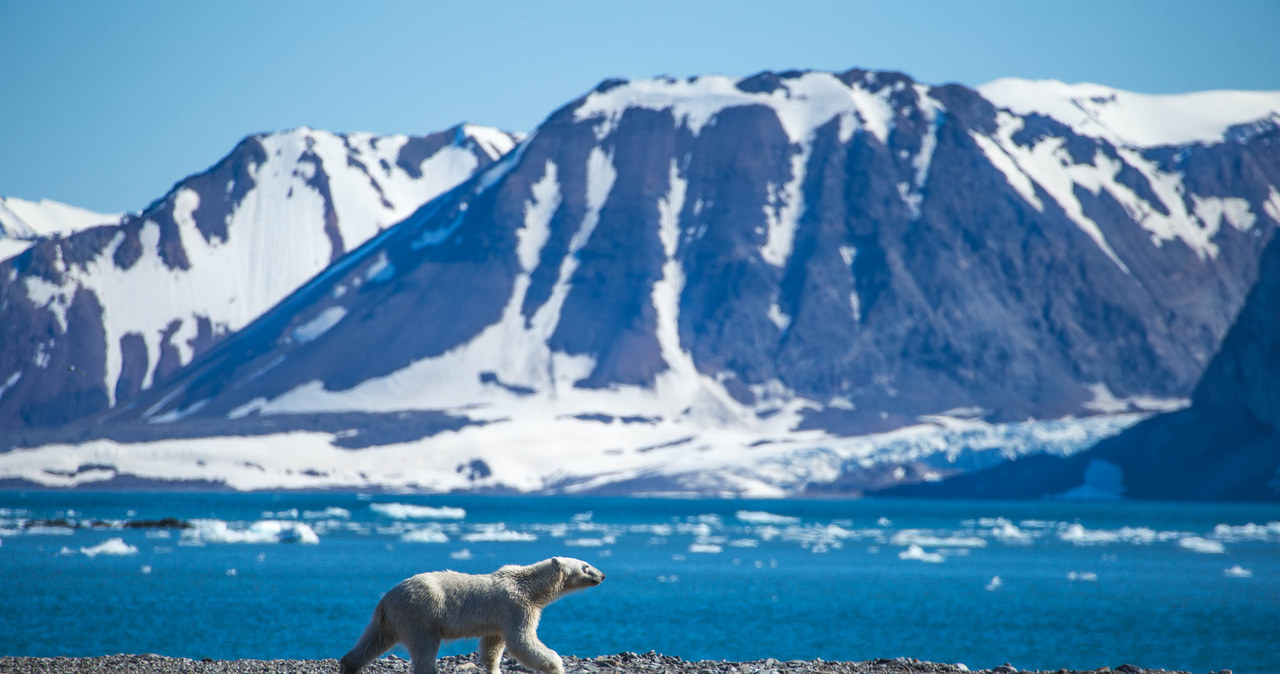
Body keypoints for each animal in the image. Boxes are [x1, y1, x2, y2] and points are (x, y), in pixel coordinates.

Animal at [337, 557, 601, 674]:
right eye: (586, 566)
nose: (603, 575)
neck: (528, 587)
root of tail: (386, 598)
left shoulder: (498, 619)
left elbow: (493, 645)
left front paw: (494, 669)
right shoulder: (517, 607)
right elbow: (522, 641)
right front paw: (556, 664)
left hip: (390, 619)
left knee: (373, 640)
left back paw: (349, 664)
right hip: (420, 614)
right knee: (424, 648)